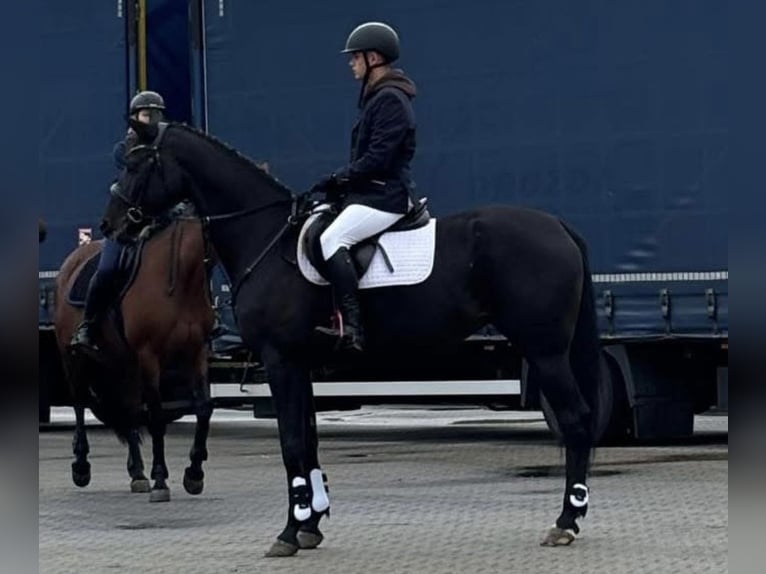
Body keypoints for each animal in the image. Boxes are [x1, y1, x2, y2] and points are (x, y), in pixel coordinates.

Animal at [54, 214, 215, 502]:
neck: (181, 282)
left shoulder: (195, 353)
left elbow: (204, 409)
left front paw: (194, 473)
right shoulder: (149, 356)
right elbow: (157, 416)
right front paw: (160, 478)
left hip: (123, 364)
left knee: (128, 409)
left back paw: (137, 473)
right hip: (73, 359)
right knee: (80, 404)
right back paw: (81, 466)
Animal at [102, 121, 606, 554]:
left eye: (135, 163)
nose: (112, 225)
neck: (266, 238)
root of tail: (557, 225)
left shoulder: (280, 360)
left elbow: (290, 443)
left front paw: (289, 531)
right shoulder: (300, 363)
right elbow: (307, 440)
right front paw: (311, 523)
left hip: (545, 351)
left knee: (577, 420)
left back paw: (566, 521)